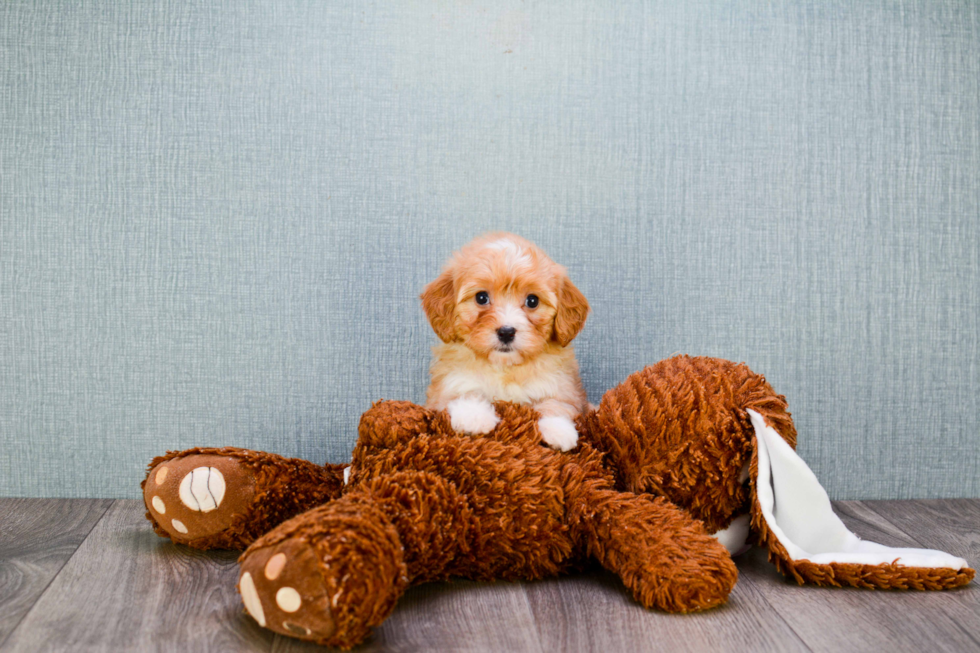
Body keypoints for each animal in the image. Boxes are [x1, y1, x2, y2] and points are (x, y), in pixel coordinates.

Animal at [422, 232, 588, 450]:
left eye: (532, 301)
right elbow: (463, 390)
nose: (507, 332)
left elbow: (558, 404)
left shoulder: (563, 387)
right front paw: (473, 416)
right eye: (481, 297)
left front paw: (558, 429)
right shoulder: (444, 389)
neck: (505, 367)